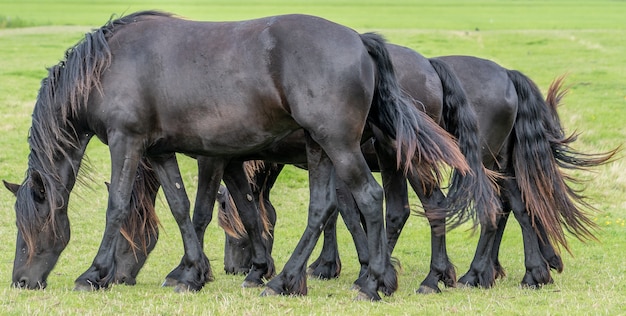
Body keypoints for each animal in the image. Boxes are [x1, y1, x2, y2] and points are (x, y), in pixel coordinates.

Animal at [3, 11, 468, 300]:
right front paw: (193, 272)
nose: (21, 281)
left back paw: (374, 283)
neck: (108, 65)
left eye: (29, 229)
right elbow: (185, 207)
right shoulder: (161, 151)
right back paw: (287, 281)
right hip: (324, 148)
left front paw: (93, 274)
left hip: (345, 147)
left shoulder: (129, 142)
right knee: (325, 208)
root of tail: (360, 41)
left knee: (373, 201)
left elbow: (120, 206)